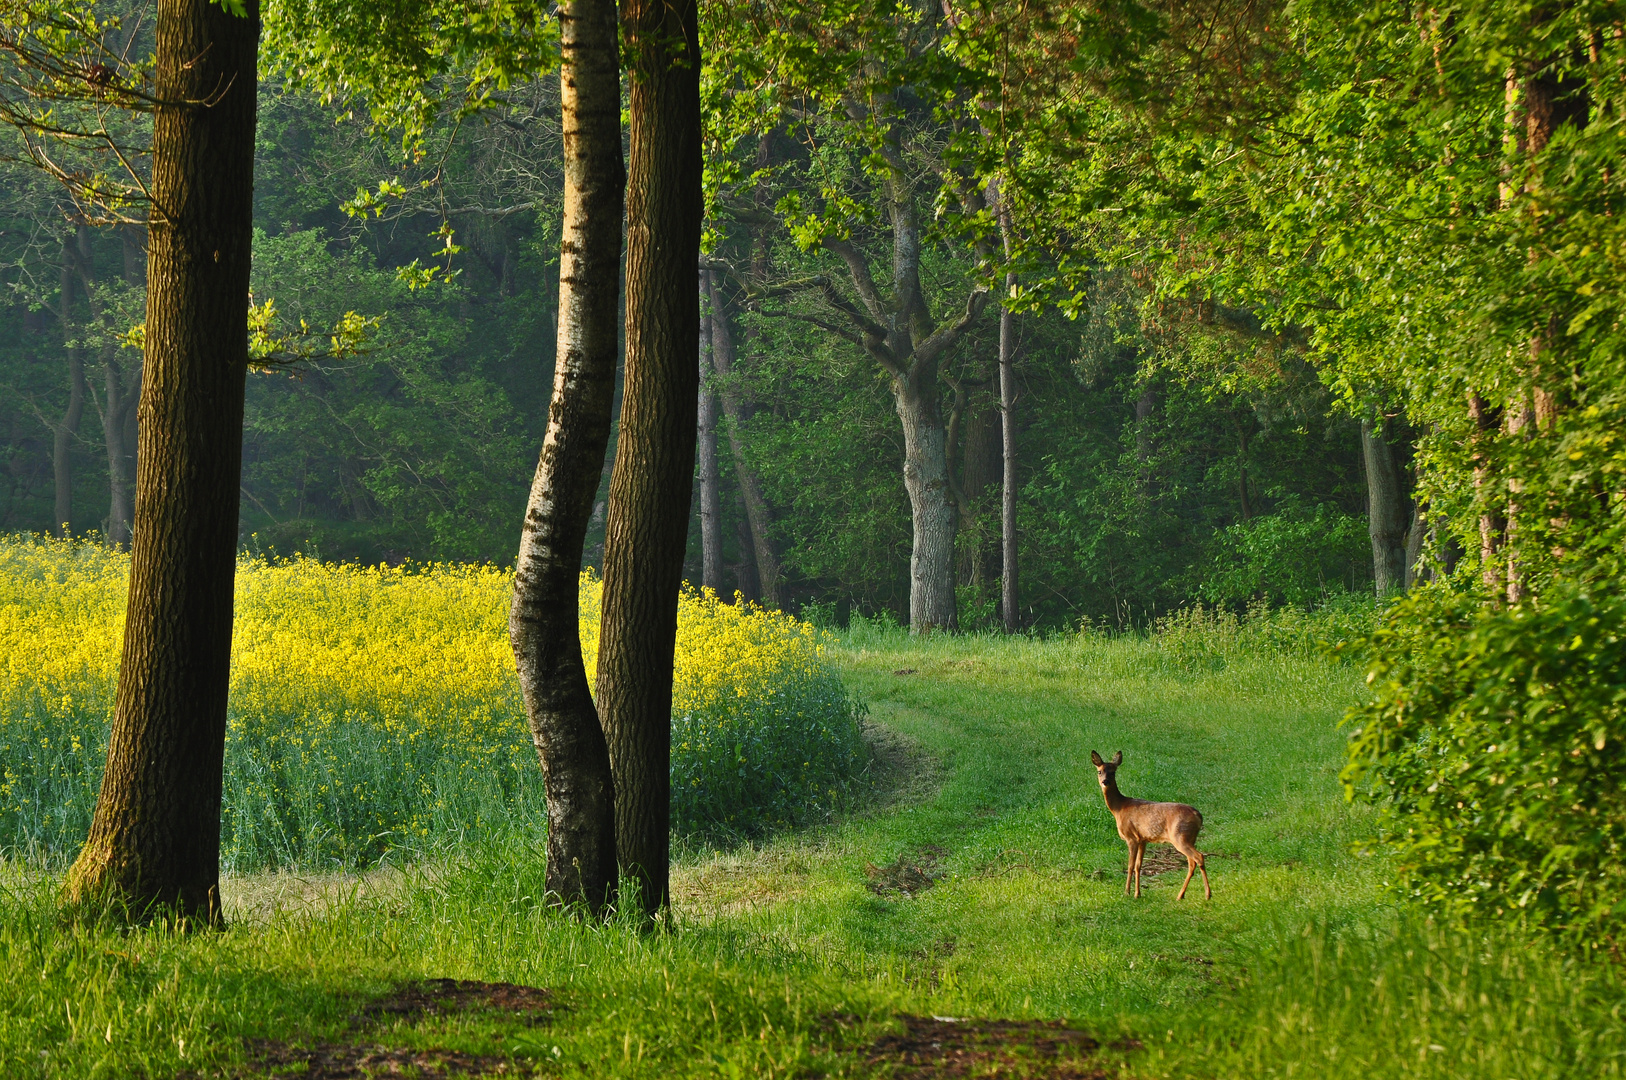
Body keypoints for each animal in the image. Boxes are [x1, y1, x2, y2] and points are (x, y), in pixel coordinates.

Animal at [1092, 751, 1209, 904]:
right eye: (1099, 771)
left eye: (1113, 772)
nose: (1105, 781)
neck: (1119, 808)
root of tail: (1198, 815)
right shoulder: (1143, 839)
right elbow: (1138, 866)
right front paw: (1137, 894)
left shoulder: (1131, 837)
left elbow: (1130, 865)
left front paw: (1126, 892)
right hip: (1189, 838)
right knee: (1191, 863)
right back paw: (1181, 895)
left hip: (1180, 836)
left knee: (1199, 857)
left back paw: (1207, 894)